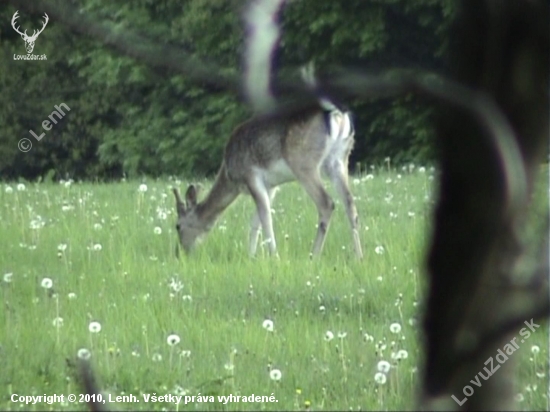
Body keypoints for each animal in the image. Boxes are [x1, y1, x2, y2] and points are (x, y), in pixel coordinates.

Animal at [175, 82, 364, 260]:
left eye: (177, 226)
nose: (181, 253)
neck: (231, 177)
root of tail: (337, 113)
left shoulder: (251, 175)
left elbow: (265, 216)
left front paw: (274, 257)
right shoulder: (271, 185)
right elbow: (255, 221)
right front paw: (251, 256)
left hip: (304, 164)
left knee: (327, 203)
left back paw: (314, 256)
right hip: (339, 159)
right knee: (350, 202)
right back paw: (359, 257)